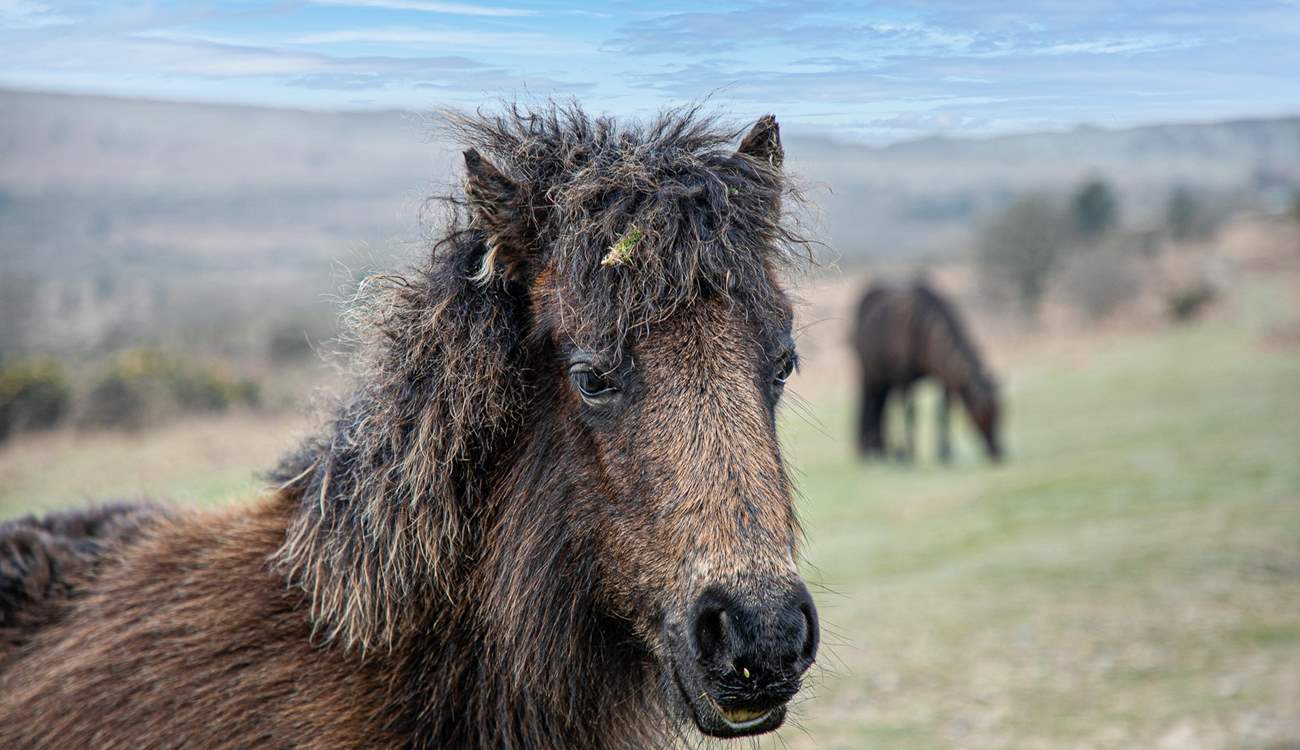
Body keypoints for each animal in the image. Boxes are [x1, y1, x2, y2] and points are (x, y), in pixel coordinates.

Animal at [851, 280, 1002, 463]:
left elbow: (943, 413)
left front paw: (945, 452)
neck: (925, 332)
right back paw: (870, 452)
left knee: (881, 409)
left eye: (1002, 413)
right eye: (983, 414)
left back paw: (883, 450)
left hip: (885, 382)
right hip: (870, 376)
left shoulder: (945, 380)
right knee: (869, 407)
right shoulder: (905, 380)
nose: (998, 451)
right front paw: (910, 453)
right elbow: (910, 414)